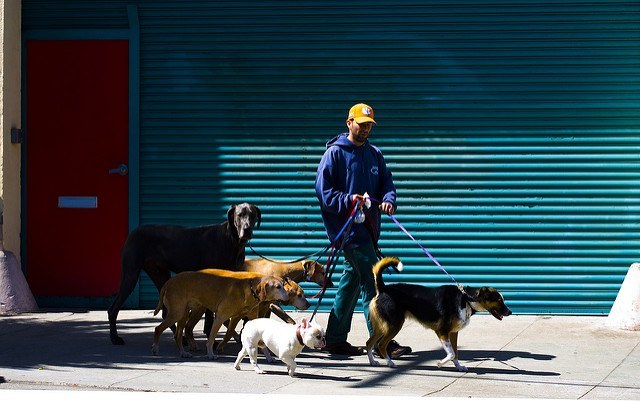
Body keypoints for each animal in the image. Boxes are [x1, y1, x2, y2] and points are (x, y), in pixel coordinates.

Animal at [109, 203, 262, 344]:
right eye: (239, 215)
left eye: (252, 215)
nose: (247, 229)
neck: (231, 240)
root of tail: (133, 232)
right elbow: (210, 316)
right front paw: (211, 340)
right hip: (131, 275)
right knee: (113, 309)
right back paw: (115, 338)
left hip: (161, 275)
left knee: (165, 313)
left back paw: (181, 339)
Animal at [151, 268, 286, 360]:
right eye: (278, 287)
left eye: (283, 285)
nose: (288, 296)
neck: (250, 287)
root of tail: (169, 282)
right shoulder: (220, 317)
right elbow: (211, 338)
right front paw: (210, 354)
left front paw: (268, 356)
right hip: (177, 313)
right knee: (158, 328)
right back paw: (156, 349)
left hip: (186, 313)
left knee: (178, 334)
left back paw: (183, 352)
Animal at [364, 258, 510, 370]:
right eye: (499, 300)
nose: (510, 311)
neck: (466, 299)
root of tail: (383, 289)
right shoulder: (442, 332)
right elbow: (451, 354)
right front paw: (440, 363)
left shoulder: (453, 333)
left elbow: (455, 353)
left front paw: (459, 367)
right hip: (394, 325)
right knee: (381, 345)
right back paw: (390, 363)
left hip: (382, 326)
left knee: (369, 342)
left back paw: (372, 362)